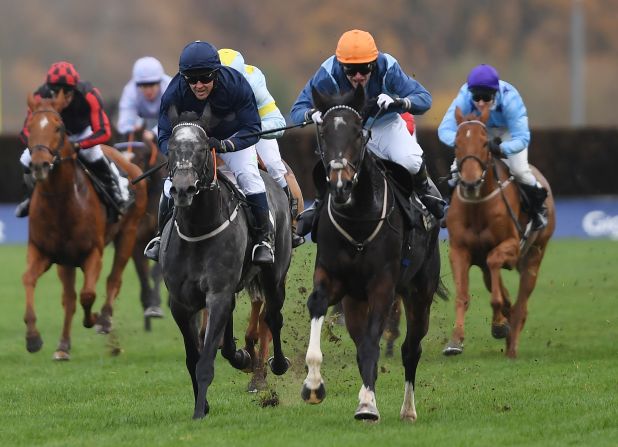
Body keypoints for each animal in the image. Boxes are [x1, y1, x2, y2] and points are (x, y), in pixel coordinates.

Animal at [22, 93, 148, 360]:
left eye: (58, 127)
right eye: (30, 127)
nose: (40, 165)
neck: (61, 202)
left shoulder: (93, 253)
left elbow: (88, 294)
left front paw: (95, 319)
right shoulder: (45, 252)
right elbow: (29, 279)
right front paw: (33, 337)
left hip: (128, 233)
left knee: (114, 279)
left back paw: (105, 319)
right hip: (67, 261)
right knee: (69, 299)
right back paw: (63, 346)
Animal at [161, 108, 292, 420]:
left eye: (201, 148)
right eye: (171, 148)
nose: (183, 189)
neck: (197, 229)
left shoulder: (218, 293)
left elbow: (205, 360)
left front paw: (199, 412)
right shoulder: (180, 303)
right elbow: (193, 357)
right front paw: (203, 404)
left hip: (274, 276)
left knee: (273, 316)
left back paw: (276, 363)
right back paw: (241, 356)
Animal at [440, 106, 556, 360]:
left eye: (485, 143)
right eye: (456, 144)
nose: (470, 182)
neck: (477, 206)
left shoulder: (511, 246)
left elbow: (496, 275)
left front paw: (500, 324)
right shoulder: (459, 250)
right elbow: (463, 295)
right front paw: (455, 341)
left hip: (534, 255)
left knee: (521, 304)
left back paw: (511, 348)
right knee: (502, 289)